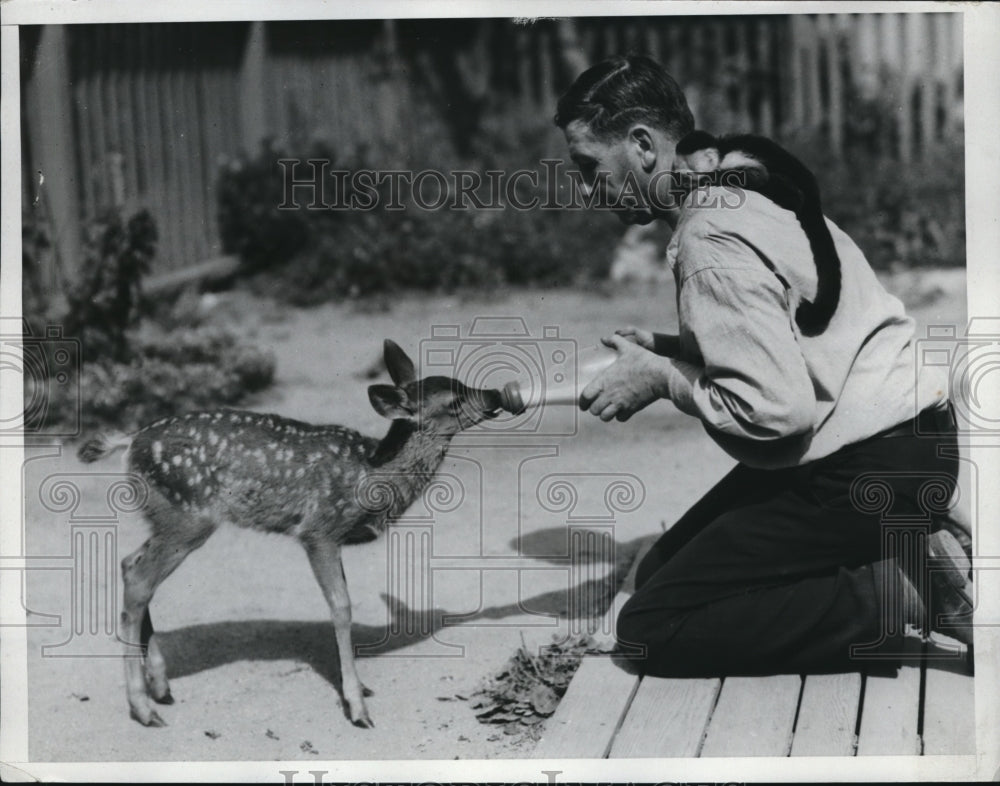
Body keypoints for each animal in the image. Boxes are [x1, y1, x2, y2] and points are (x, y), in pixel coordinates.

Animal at [76, 340, 506, 729]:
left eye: (462, 382)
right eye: (454, 400)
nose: (496, 394)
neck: (372, 475)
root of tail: (129, 441)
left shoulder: (332, 538)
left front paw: (360, 687)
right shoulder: (319, 529)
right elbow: (341, 607)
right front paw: (357, 706)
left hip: (165, 518)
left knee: (129, 563)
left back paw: (161, 688)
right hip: (188, 517)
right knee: (139, 579)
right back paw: (143, 708)